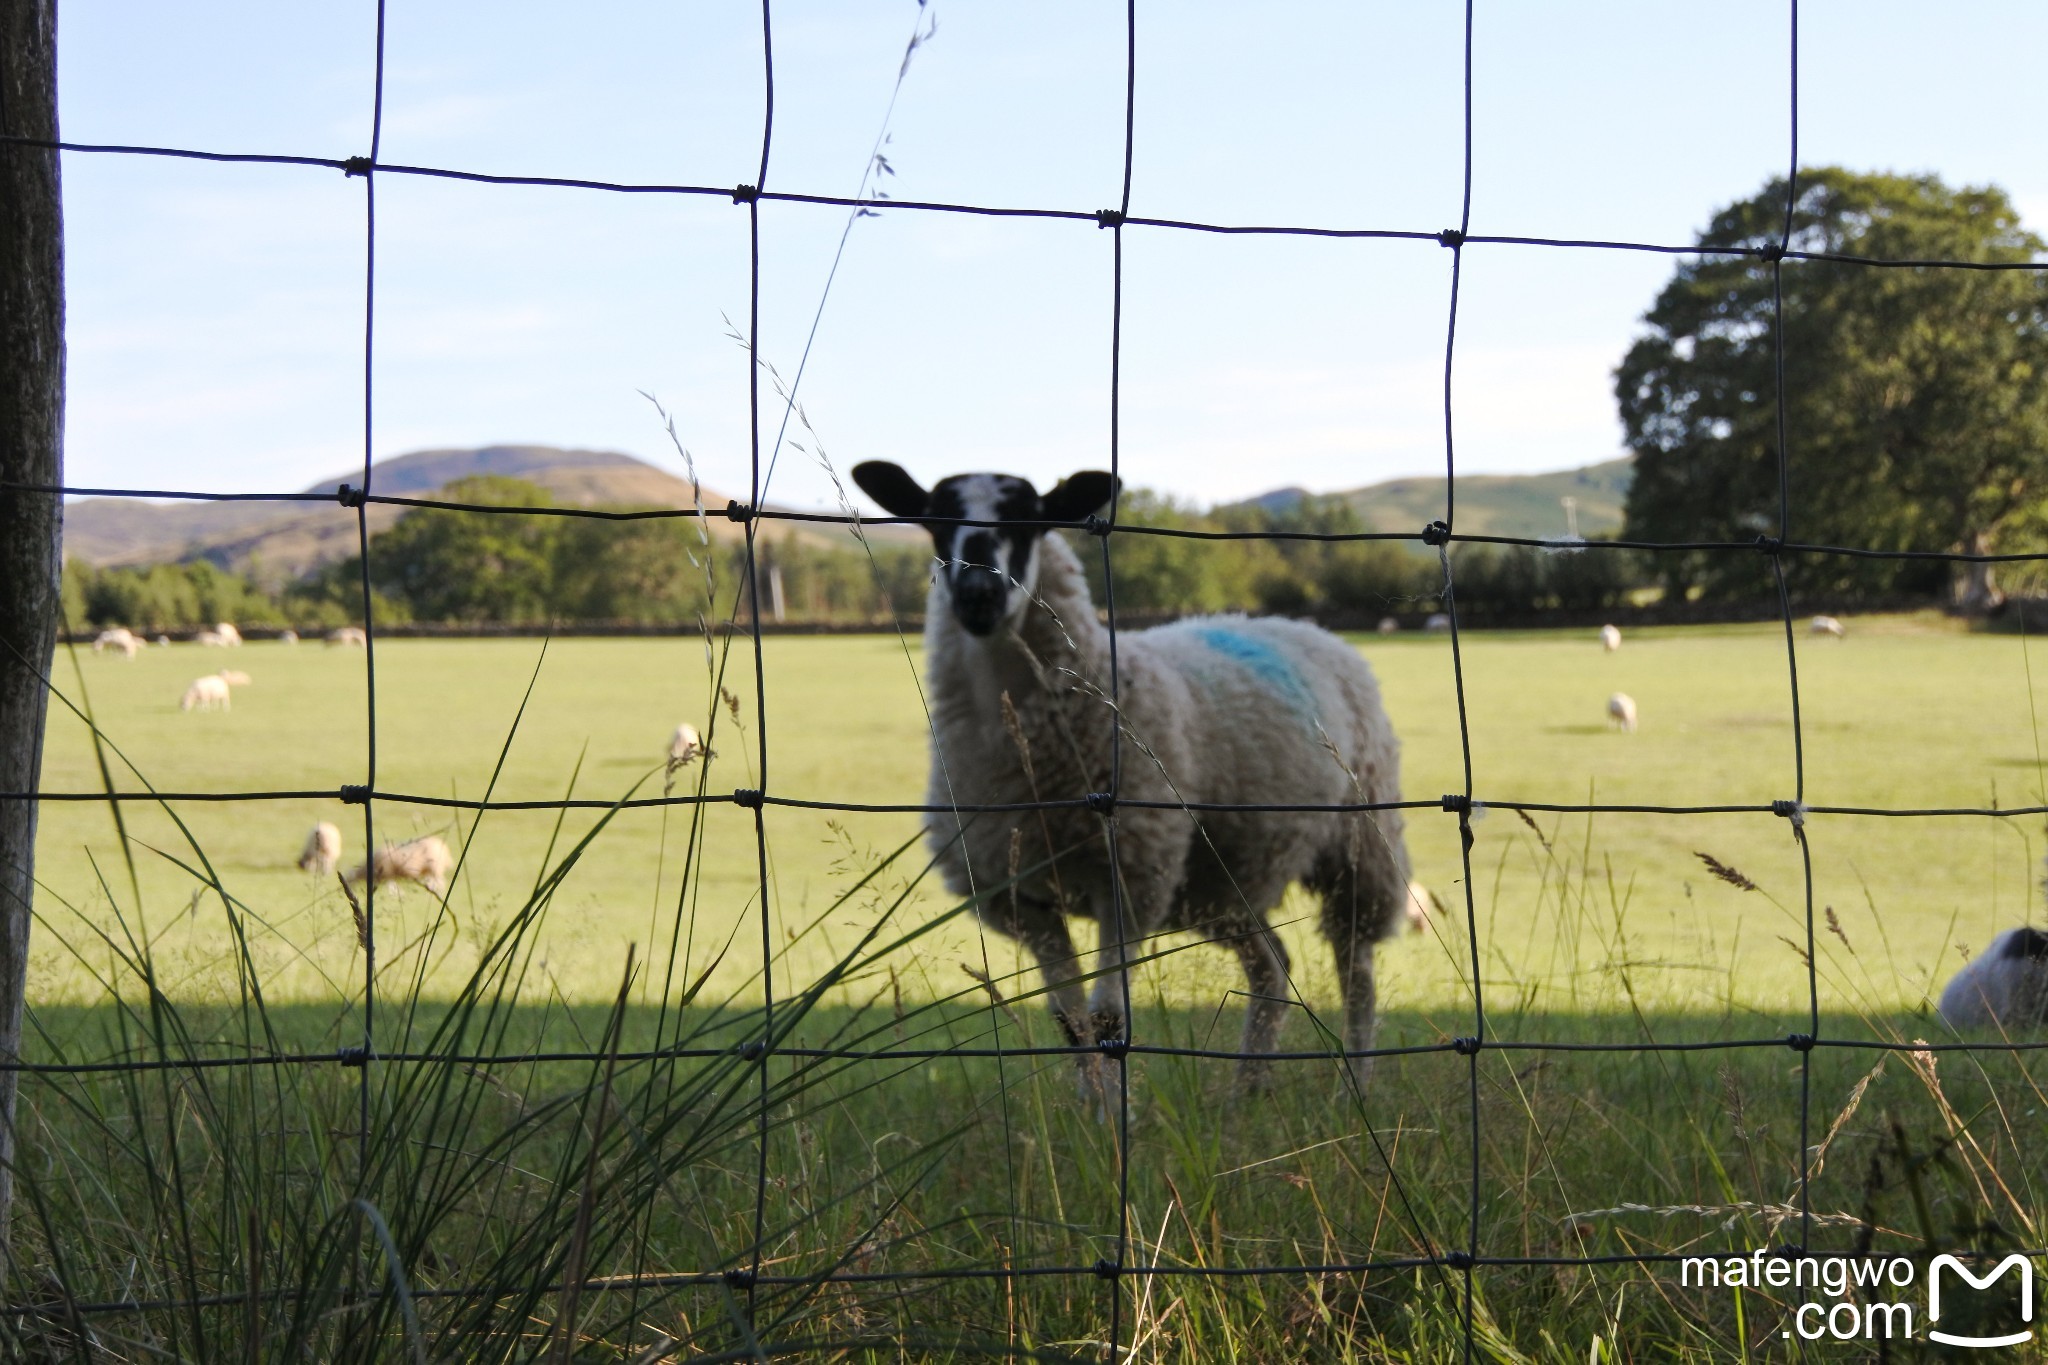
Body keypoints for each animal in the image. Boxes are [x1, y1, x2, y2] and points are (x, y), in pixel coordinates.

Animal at [847, 464, 1409, 1096]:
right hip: (1219, 882)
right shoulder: (1020, 897)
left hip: (1359, 843)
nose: (978, 594)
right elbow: (1070, 1021)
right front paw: (1090, 1113)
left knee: (1356, 970)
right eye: (934, 522)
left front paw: (1114, 1113)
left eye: (1031, 521)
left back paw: (1354, 1084)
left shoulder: (1129, 878)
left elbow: (1108, 1018)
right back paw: (1246, 1092)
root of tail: (1299, 626)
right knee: (1273, 964)